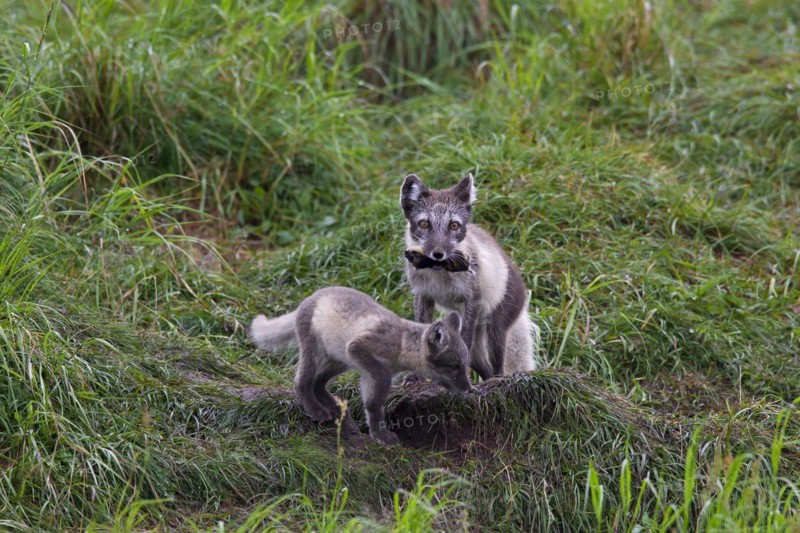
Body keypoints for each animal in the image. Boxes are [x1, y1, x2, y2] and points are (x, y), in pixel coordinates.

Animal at [250, 286, 472, 446]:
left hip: (340, 361)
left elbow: (372, 406)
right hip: (318, 353)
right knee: (301, 382)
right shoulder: (360, 349)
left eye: (465, 365)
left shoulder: (366, 373)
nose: (470, 389)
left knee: (318, 383)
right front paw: (382, 435)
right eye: (453, 366)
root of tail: (308, 299)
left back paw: (340, 417)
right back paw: (317, 411)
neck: (401, 344)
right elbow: (378, 391)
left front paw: (377, 434)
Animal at [400, 173, 541, 380]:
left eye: (454, 225)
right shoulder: (423, 296)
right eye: (424, 224)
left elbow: (465, 339)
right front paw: (415, 376)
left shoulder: (473, 298)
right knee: (485, 369)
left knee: (498, 368)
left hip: (494, 332)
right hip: (474, 342)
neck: (440, 275)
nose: (438, 254)